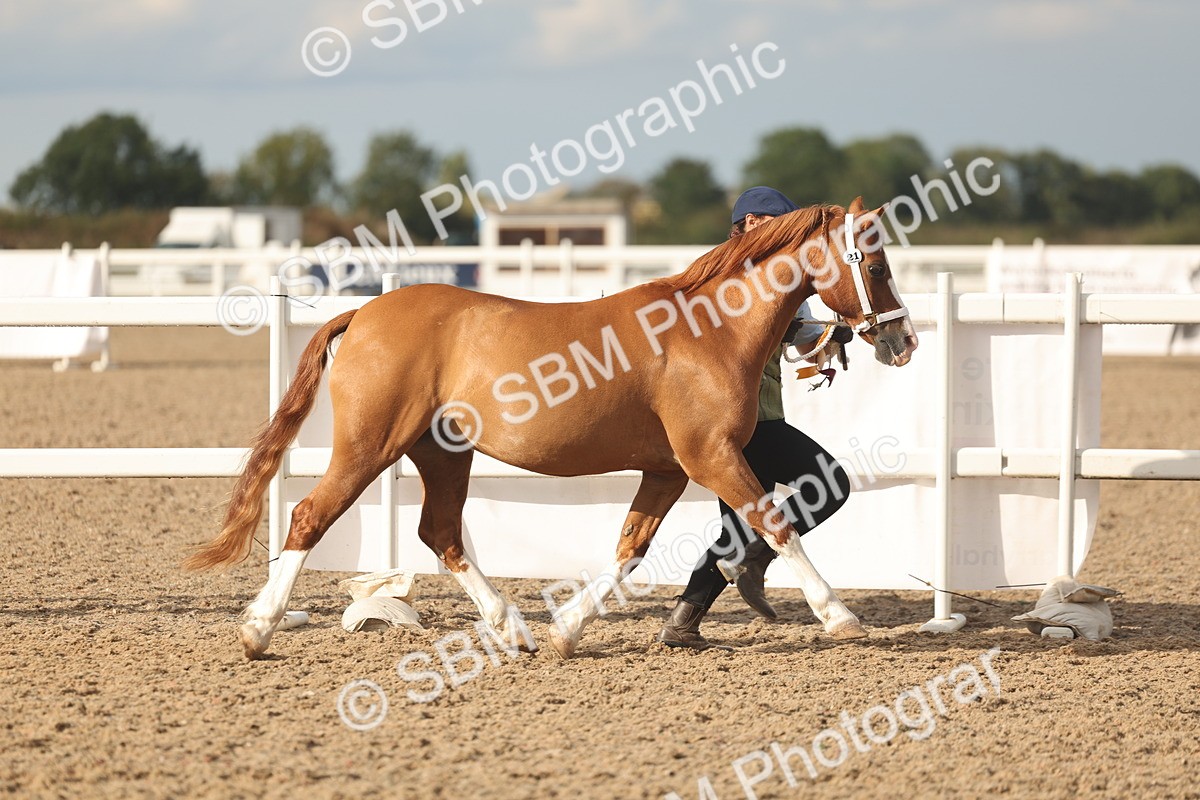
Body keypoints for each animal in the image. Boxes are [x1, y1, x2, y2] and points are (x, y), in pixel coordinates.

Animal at [184, 197, 918, 660]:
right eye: (877, 264)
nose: (902, 342)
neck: (706, 331)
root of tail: (362, 314)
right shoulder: (709, 458)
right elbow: (776, 523)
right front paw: (842, 617)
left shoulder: (668, 469)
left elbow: (630, 549)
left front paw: (566, 630)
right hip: (370, 446)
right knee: (310, 515)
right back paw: (258, 631)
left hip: (442, 454)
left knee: (441, 535)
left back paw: (515, 631)